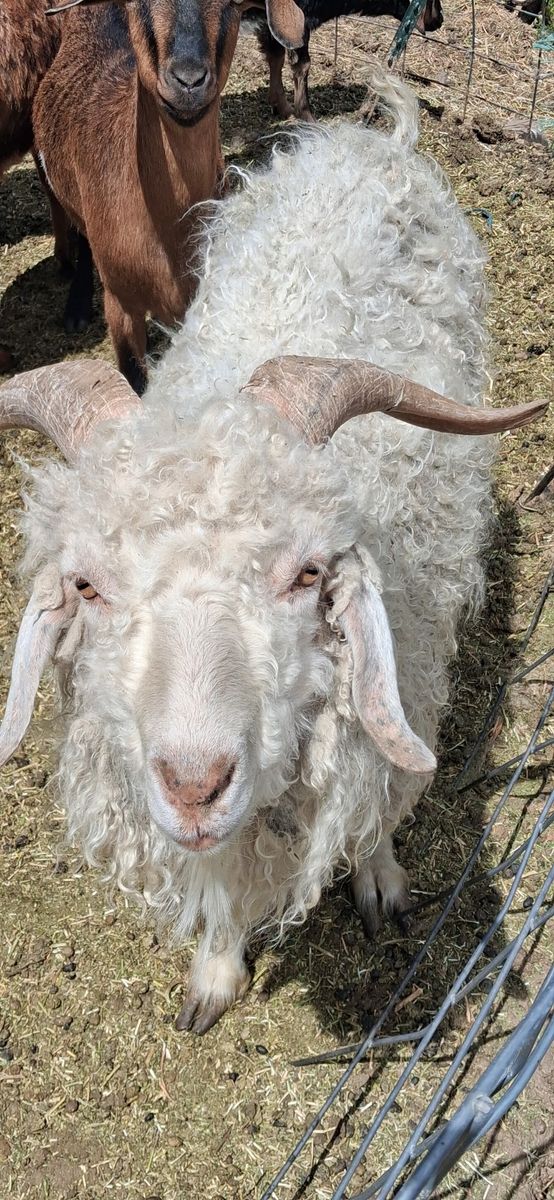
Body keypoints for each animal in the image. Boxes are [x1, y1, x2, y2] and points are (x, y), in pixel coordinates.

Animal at [0, 68, 547, 1032]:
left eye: (307, 573)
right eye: (88, 586)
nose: (194, 784)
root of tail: (375, 139)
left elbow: (380, 804)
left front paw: (380, 879)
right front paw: (216, 972)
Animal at [248, 0, 443, 120]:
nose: (439, 19)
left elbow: (276, 57)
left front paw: (282, 108)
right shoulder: (299, 22)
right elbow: (302, 66)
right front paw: (306, 117)